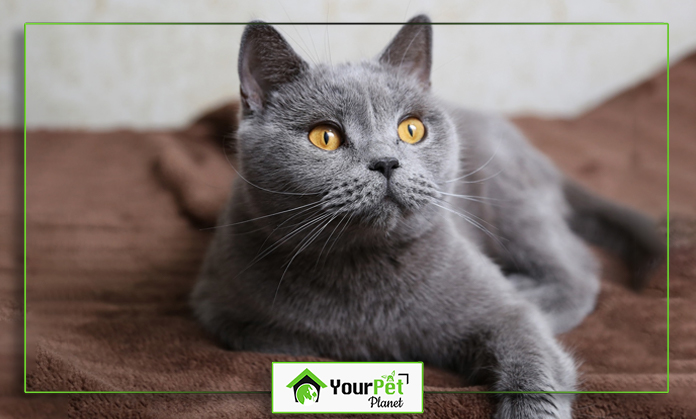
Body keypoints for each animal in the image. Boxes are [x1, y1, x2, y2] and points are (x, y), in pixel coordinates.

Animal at [189, 16, 664, 419]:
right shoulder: (222, 310)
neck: (362, 272)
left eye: (411, 129)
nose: (386, 162)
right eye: (324, 137)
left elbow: (530, 350)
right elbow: (292, 341)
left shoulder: (505, 314)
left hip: (509, 199)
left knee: (579, 268)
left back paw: (531, 290)